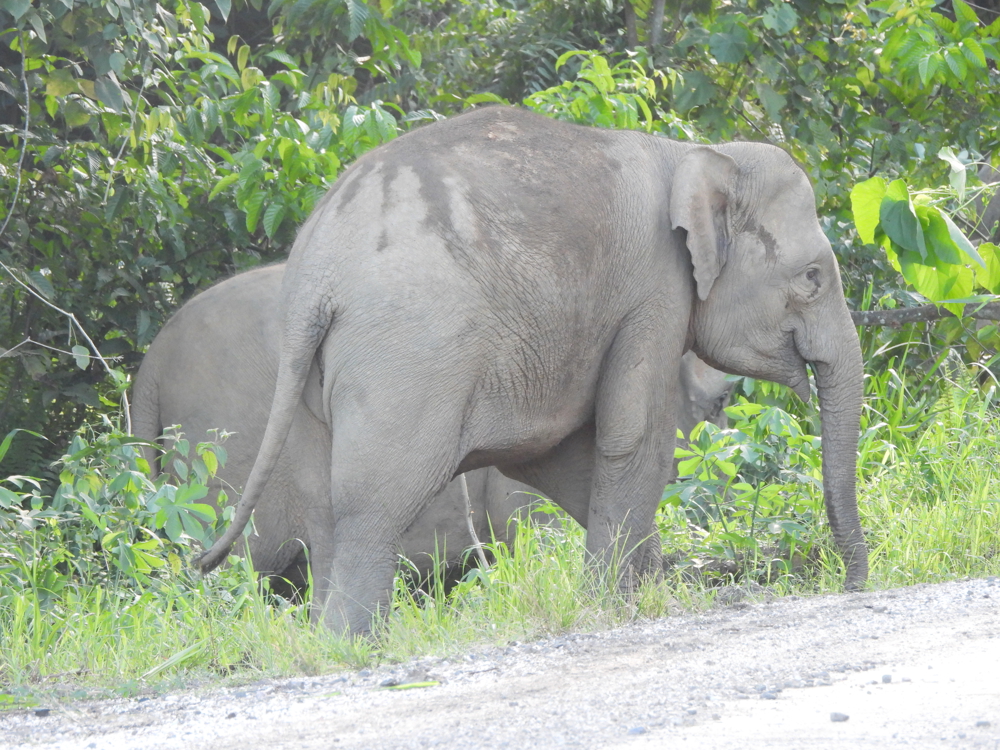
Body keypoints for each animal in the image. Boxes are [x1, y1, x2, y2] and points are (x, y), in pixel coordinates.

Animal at [196, 106, 867, 634]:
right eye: (812, 277)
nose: (852, 585)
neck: (694, 154)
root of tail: (317, 275)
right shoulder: (655, 289)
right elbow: (633, 438)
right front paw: (612, 608)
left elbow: (564, 460)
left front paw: (644, 594)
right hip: (408, 358)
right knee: (372, 507)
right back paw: (353, 646)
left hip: (308, 372)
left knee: (325, 510)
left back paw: (328, 640)